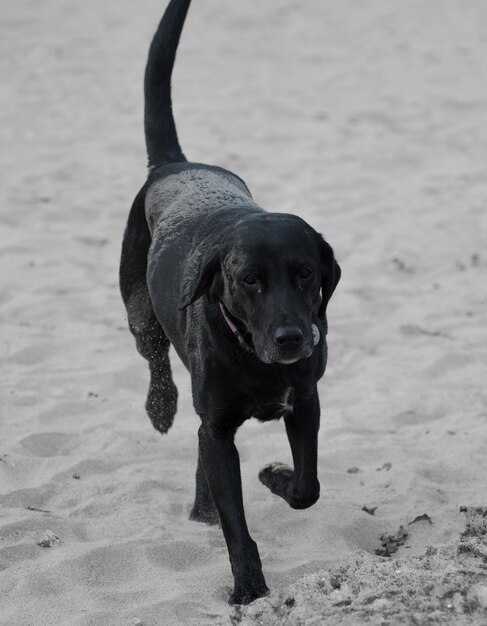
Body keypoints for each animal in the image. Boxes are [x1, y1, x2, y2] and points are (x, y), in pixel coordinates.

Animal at [120, 0, 342, 604]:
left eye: (305, 274)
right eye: (248, 280)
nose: (292, 338)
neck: (254, 356)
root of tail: (174, 164)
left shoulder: (305, 401)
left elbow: (307, 487)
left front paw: (274, 477)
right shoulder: (221, 430)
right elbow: (236, 524)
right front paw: (249, 587)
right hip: (138, 309)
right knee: (156, 360)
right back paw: (161, 407)